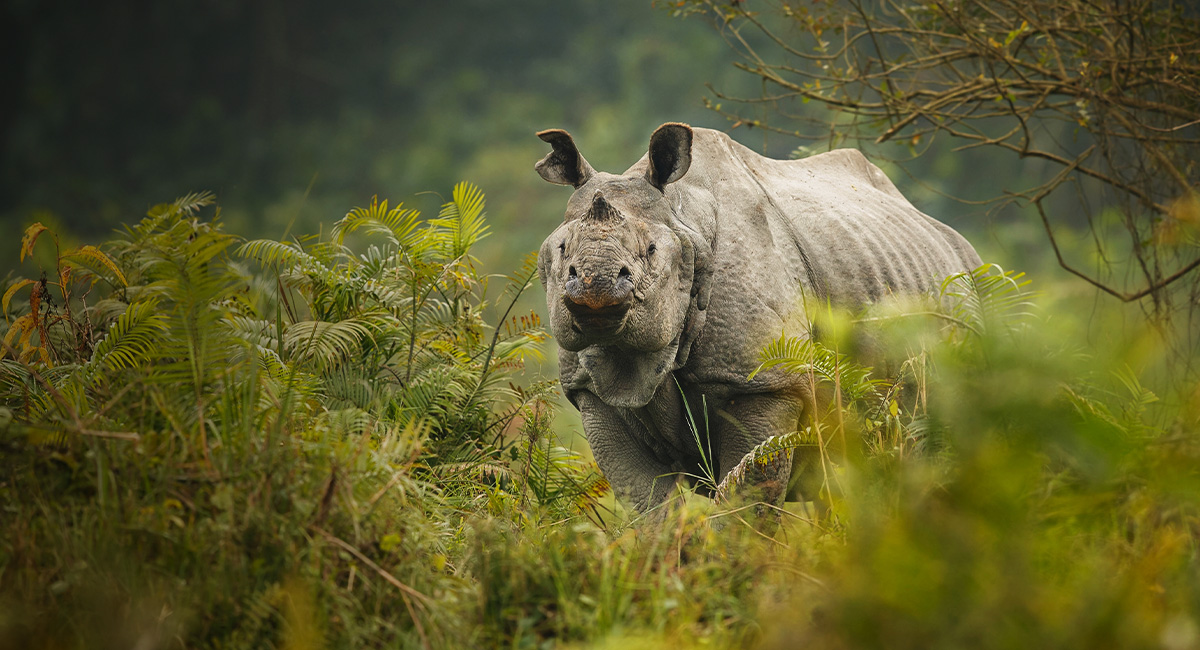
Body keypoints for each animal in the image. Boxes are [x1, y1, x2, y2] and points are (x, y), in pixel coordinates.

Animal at [534, 122, 980, 514]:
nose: (595, 288)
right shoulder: (591, 392)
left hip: (962, 289)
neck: (685, 220)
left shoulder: (763, 383)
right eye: (560, 249)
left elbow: (746, 505)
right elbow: (650, 508)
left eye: (651, 251)